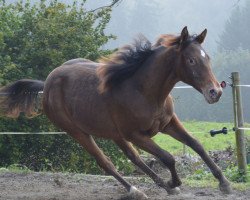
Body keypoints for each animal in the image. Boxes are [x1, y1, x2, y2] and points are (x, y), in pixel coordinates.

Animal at [0, 27, 232, 200]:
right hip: (79, 133)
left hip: (114, 134)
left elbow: (196, 145)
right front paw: (174, 182)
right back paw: (135, 190)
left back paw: (158, 186)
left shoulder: (168, 124)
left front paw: (224, 183)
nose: (215, 92)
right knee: (105, 162)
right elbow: (168, 157)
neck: (144, 90)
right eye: (191, 60)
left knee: (133, 158)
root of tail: (46, 84)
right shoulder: (136, 134)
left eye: (208, 58)